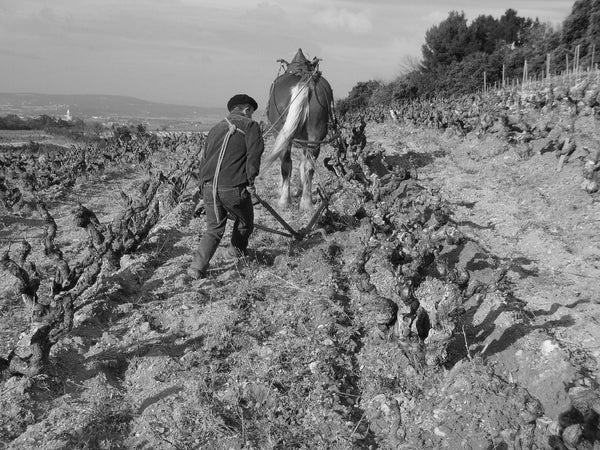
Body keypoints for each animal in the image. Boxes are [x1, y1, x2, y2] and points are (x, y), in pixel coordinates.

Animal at [266, 48, 336, 210]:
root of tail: (305, 80)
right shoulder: (306, 140)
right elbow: (303, 164)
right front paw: (300, 189)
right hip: (316, 133)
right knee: (309, 165)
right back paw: (307, 202)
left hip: (280, 133)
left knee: (286, 162)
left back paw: (284, 200)